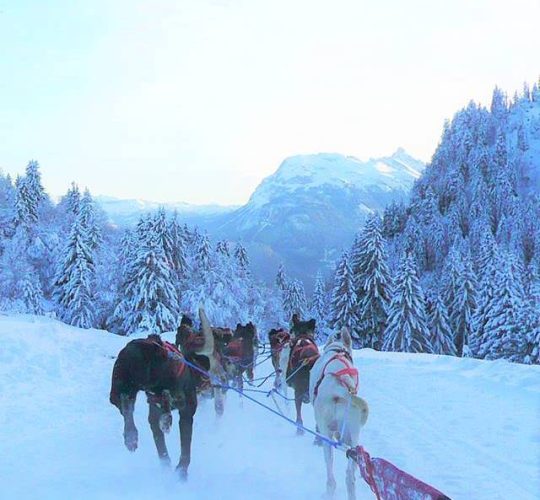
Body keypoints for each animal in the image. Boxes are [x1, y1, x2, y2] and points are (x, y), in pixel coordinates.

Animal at [310, 328, 370, 500]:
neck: (337, 351)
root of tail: (339, 390)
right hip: (354, 434)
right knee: (350, 473)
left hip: (326, 433)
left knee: (330, 468)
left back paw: (328, 490)